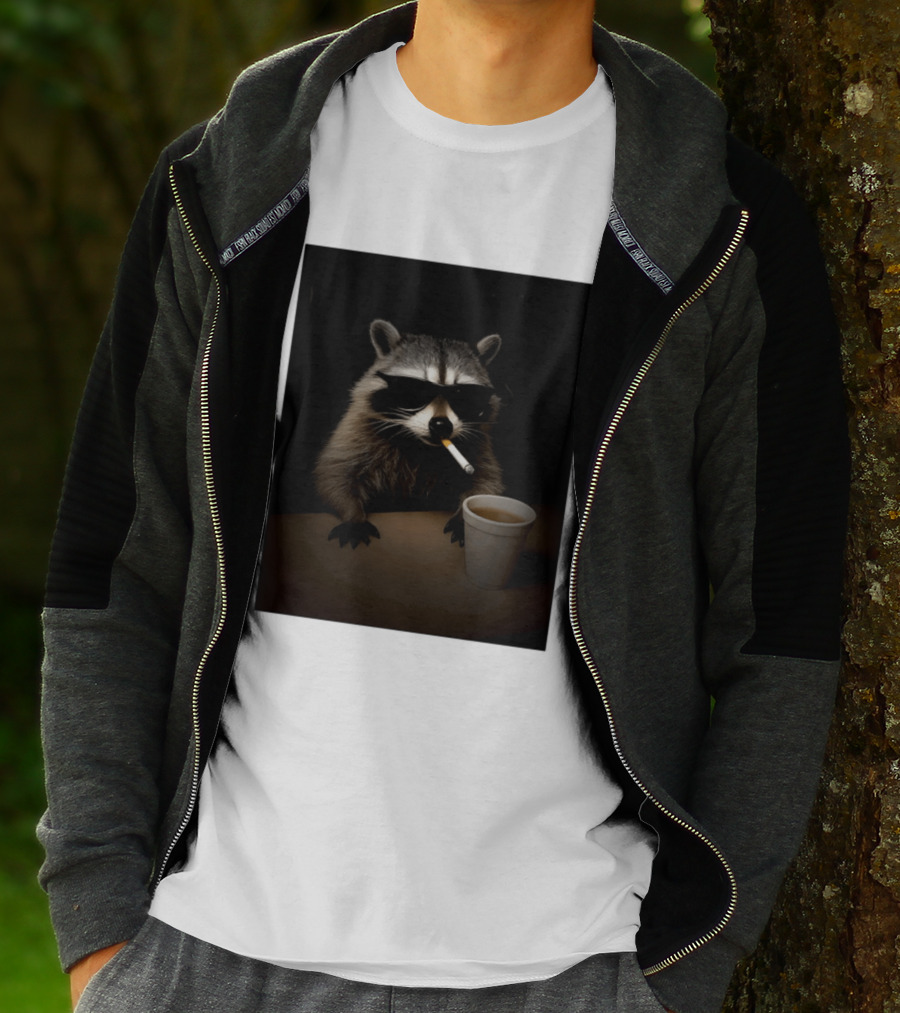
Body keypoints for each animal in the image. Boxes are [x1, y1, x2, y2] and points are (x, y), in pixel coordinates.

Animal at [315, 318, 504, 548]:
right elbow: (334, 475)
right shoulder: (357, 430)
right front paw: (353, 515)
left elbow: (487, 483)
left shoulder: (478, 445)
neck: (418, 445)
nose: (441, 425)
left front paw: (463, 518)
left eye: (462, 396)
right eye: (414, 390)